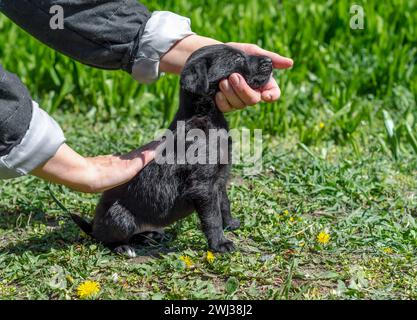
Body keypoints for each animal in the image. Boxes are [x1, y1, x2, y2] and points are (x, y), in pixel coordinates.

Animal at [70, 43, 272, 256]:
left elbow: (224, 204)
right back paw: (123, 247)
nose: (270, 61)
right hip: (119, 217)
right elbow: (212, 217)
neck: (205, 115)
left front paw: (230, 224)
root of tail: (93, 225)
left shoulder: (219, 181)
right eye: (237, 59)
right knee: (105, 239)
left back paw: (150, 236)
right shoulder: (203, 186)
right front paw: (220, 243)